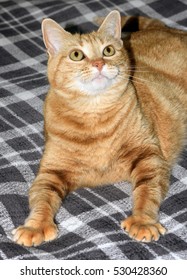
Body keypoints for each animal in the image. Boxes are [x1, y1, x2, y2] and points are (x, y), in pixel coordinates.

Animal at [12, 10, 187, 246]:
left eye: (108, 50)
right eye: (77, 55)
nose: (98, 63)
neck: (94, 118)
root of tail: (165, 29)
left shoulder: (148, 157)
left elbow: (146, 192)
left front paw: (142, 221)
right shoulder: (51, 172)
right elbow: (42, 198)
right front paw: (35, 226)